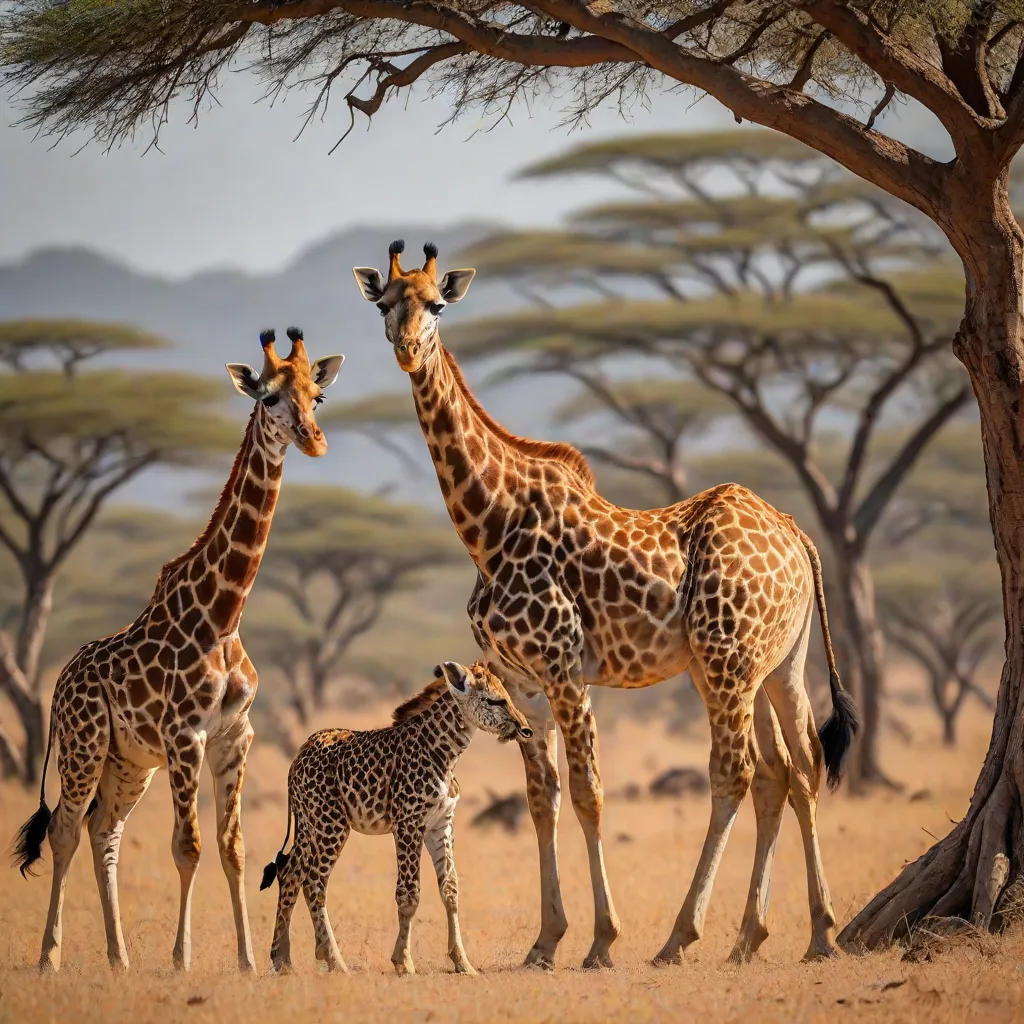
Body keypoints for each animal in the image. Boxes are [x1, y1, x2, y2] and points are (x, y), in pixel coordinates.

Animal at [12, 328, 344, 974]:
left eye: (317, 394)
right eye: (268, 397)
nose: (313, 440)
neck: (224, 615)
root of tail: (60, 682)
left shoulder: (234, 736)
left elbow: (233, 847)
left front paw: (247, 960)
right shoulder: (183, 734)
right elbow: (187, 847)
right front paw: (182, 959)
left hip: (128, 763)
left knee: (104, 832)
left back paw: (119, 958)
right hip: (85, 745)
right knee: (65, 830)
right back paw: (49, 956)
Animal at [261, 658, 532, 976]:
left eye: (508, 695)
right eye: (494, 699)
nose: (525, 729)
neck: (445, 755)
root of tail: (299, 756)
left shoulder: (441, 823)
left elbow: (451, 889)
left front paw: (462, 962)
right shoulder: (408, 823)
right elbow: (409, 893)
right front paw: (403, 962)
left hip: (309, 822)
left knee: (290, 872)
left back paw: (283, 959)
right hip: (332, 824)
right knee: (314, 881)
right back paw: (335, 961)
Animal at [352, 241, 859, 970]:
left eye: (438, 304)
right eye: (385, 303)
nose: (408, 347)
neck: (487, 526)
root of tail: (796, 532)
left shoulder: (564, 667)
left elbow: (590, 794)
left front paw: (600, 939)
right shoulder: (519, 679)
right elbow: (542, 799)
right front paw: (544, 940)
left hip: (725, 660)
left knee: (735, 772)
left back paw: (682, 936)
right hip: (772, 665)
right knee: (795, 769)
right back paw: (796, 934)